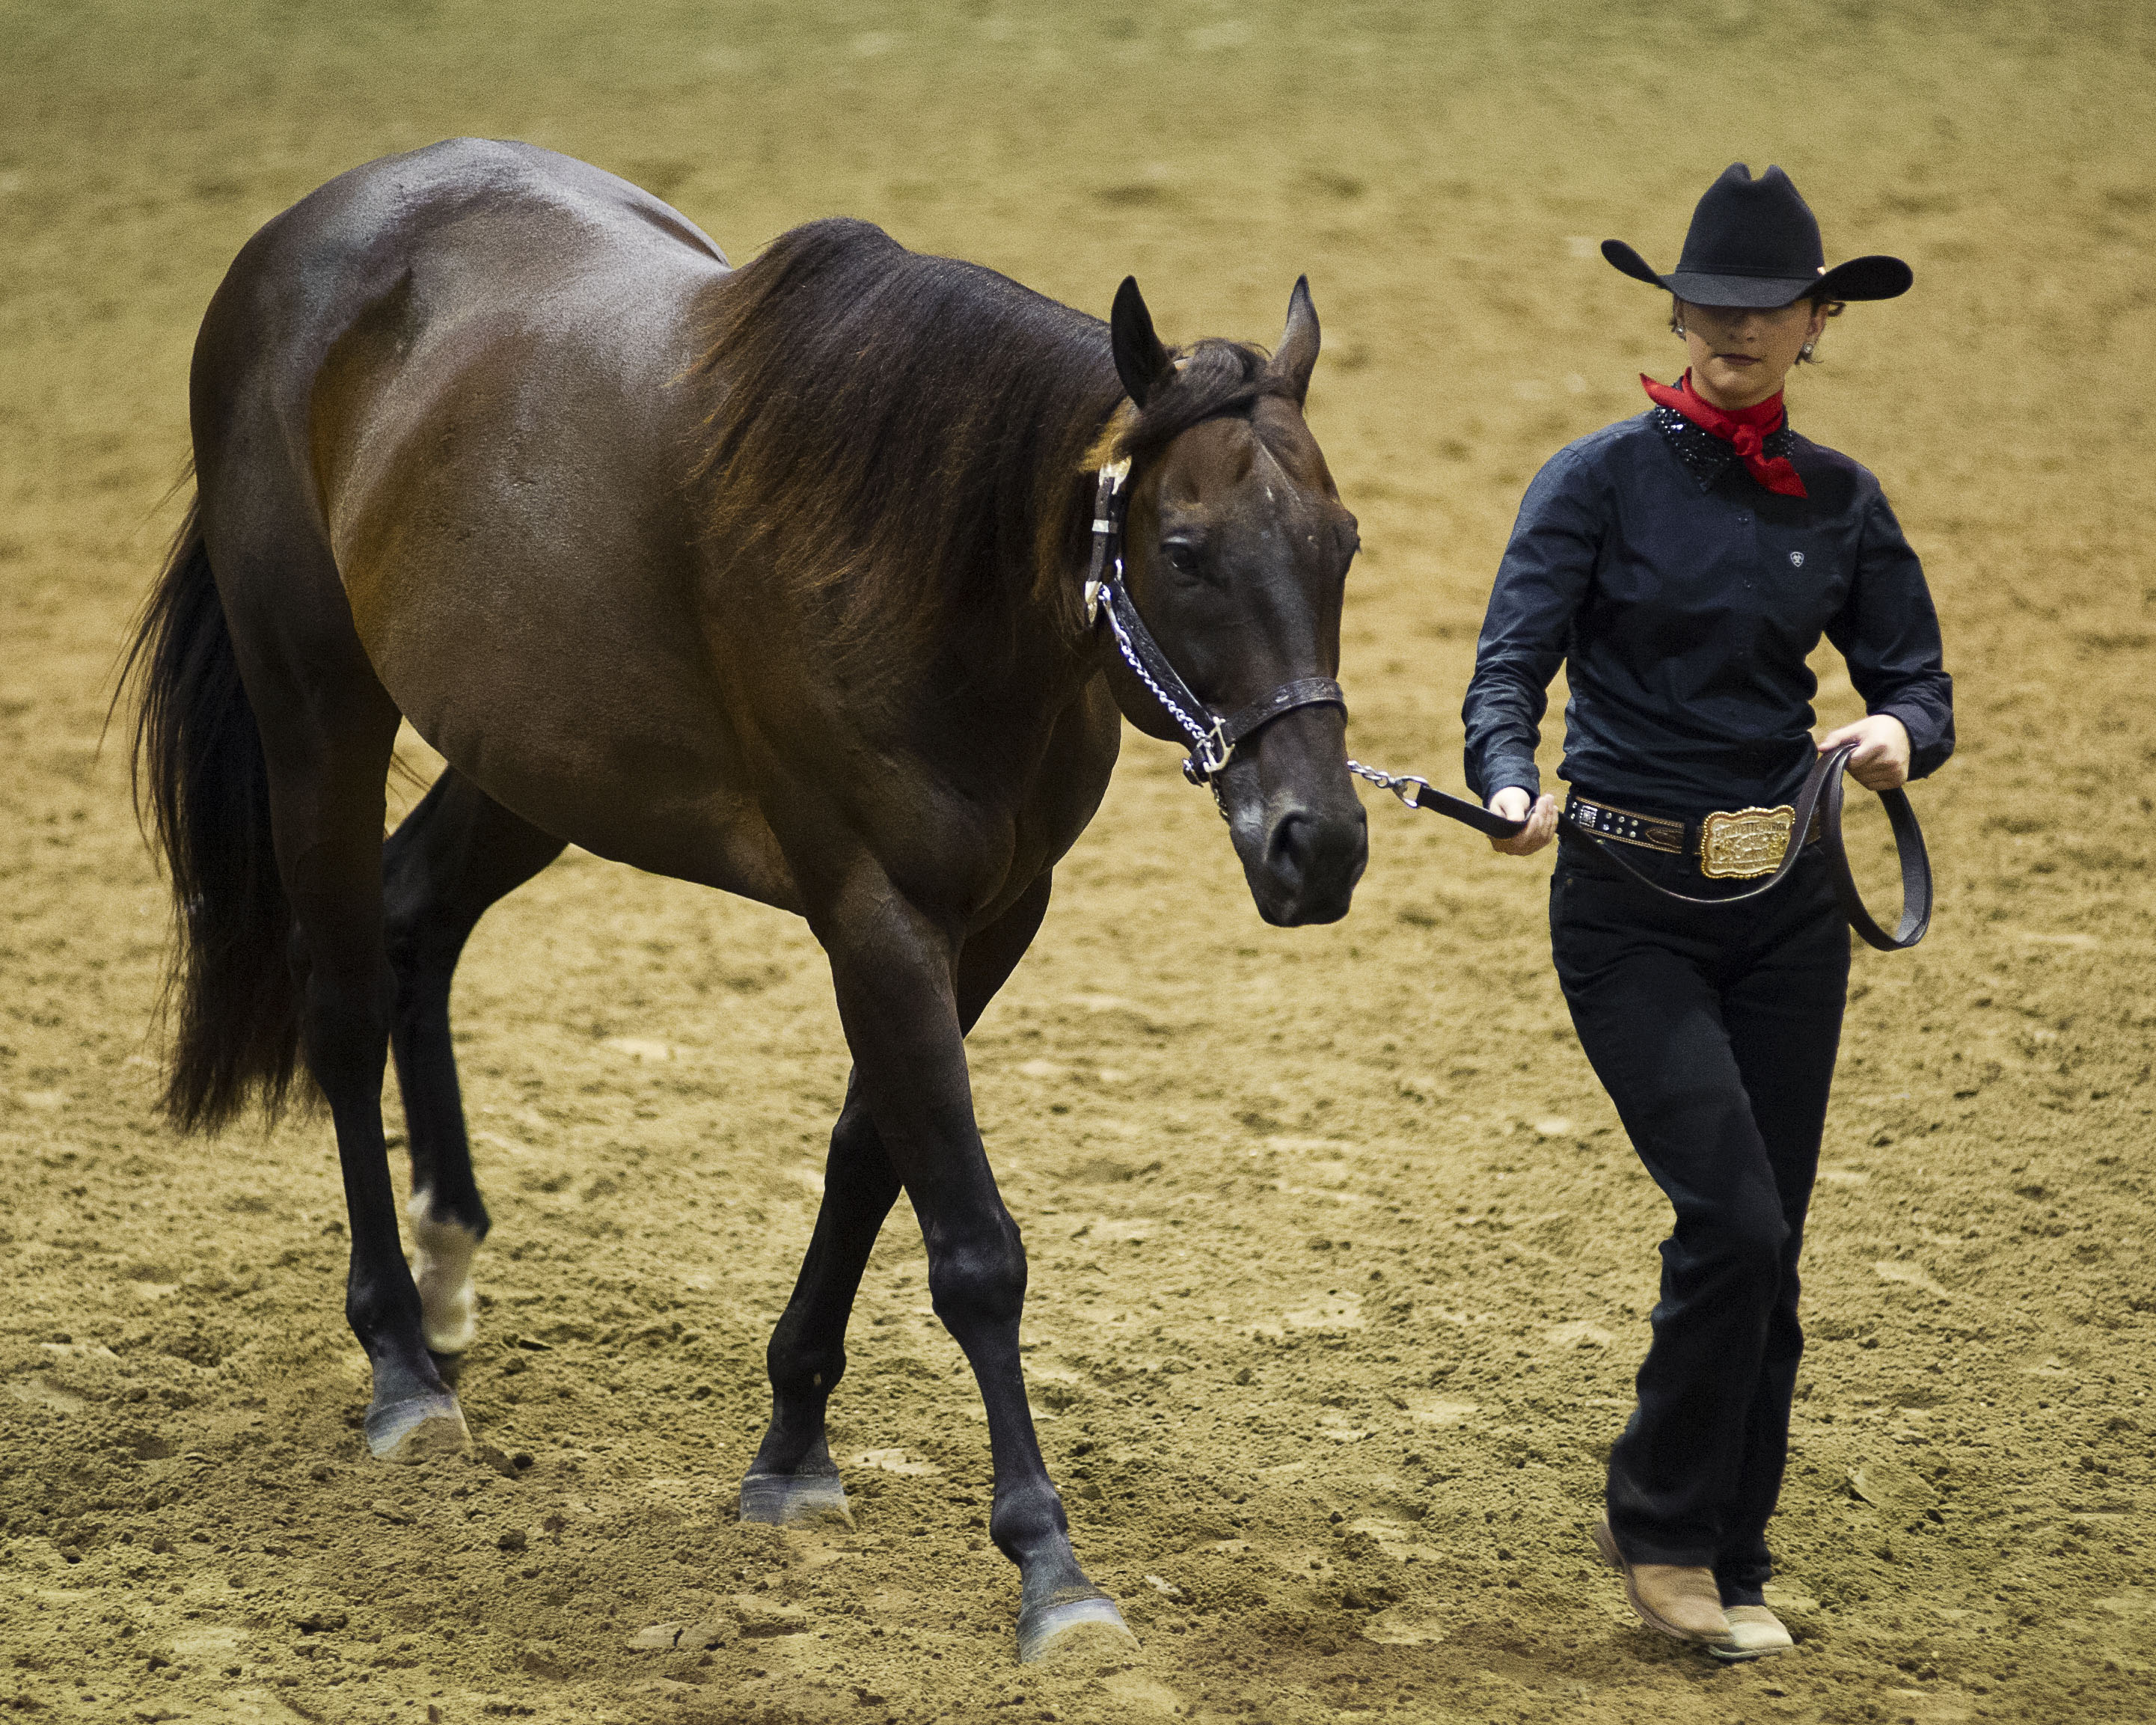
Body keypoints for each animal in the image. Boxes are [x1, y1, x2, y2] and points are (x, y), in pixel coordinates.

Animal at [125, 138, 1367, 1661]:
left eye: (1343, 543)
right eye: (1182, 550)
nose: (1321, 843)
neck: (922, 567)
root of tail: (315, 224)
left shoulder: (992, 920)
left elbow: (868, 1158)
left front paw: (792, 1448)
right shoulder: (873, 913)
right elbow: (971, 1243)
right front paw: (1051, 1567)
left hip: (534, 756)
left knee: (417, 921)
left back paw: (448, 1263)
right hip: (319, 715)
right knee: (345, 1004)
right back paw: (403, 1364)